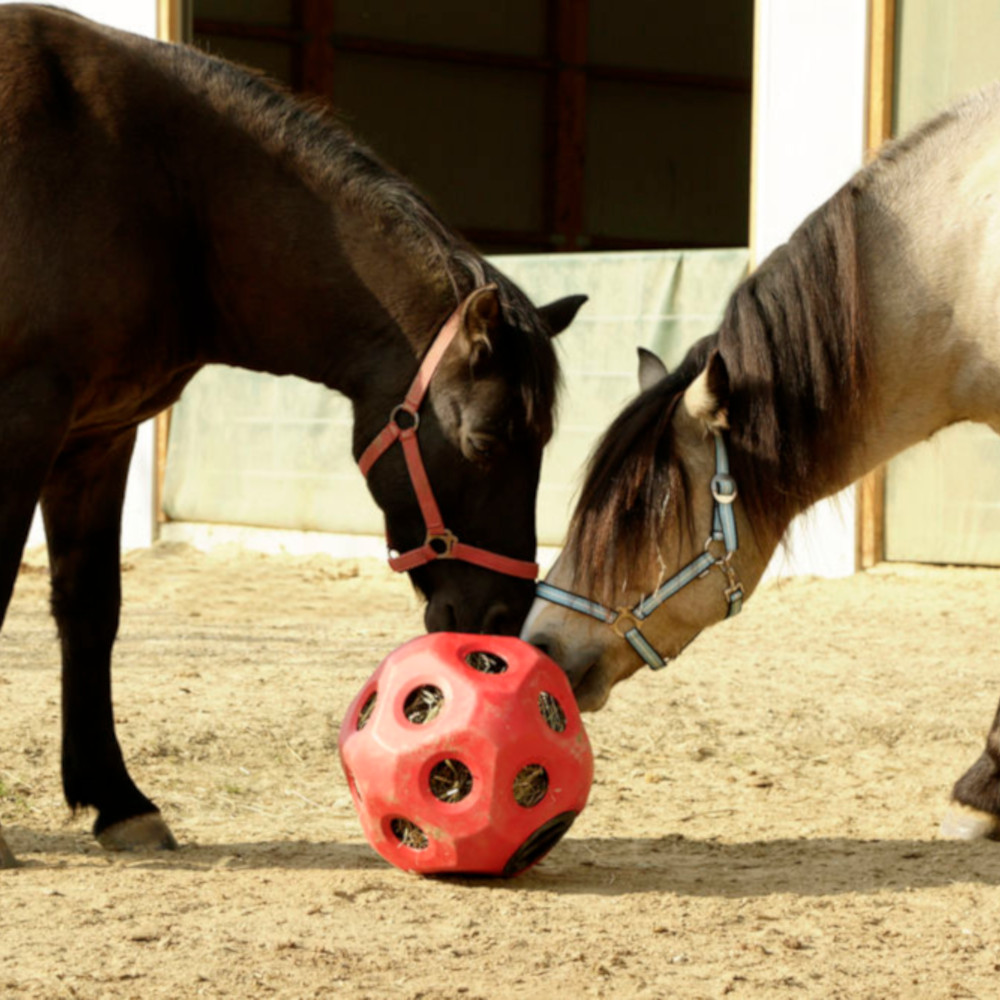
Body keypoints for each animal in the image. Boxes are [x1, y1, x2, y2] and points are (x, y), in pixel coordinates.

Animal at [0, 5, 584, 868]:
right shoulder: (23, 419)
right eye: (484, 442)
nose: (504, 618)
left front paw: (119, 800)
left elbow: (90, 609)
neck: (148, 179)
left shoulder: (95, 439)